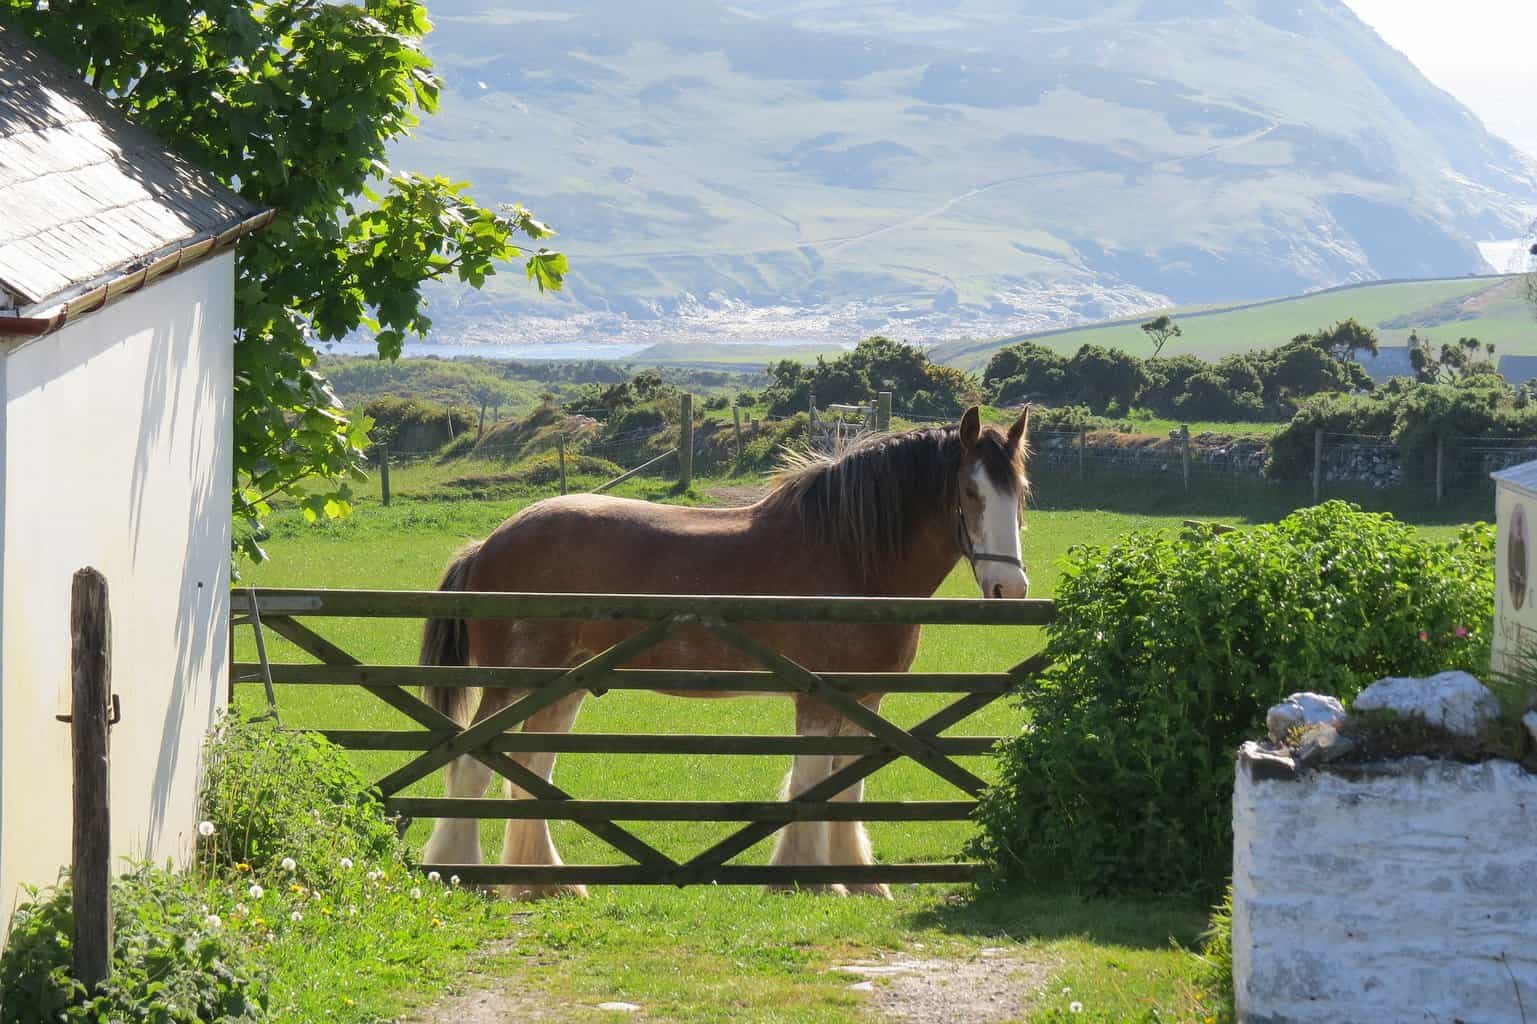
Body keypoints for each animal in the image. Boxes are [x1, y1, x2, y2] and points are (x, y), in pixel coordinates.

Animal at [418, 402, 1032, 897]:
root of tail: (488, 543)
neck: (851, 559)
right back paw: (460, 873)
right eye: (971, 493)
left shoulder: (866, 699)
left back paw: (544, 883)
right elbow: (813, 784)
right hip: (512, 684)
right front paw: (808, 880)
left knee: (528, 769)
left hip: (559, 689)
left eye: (1020, 494)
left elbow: (847, 786)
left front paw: (860, 882)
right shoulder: (818, 696)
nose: (1011, 589)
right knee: (473, 766)